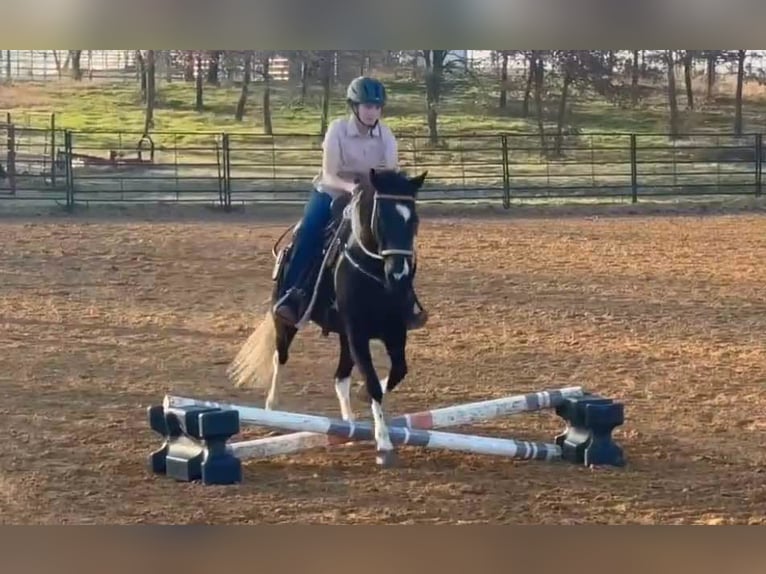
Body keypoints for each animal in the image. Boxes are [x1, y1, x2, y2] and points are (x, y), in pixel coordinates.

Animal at [225, 166, 428, 468]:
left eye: (413, 219)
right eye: (381, 218)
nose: (399, 275)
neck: (373, 273)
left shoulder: (394, 331)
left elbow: (397, 372)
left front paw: (366, 402)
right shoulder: (357, 333)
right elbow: (372, 383)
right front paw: (383, 443)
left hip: (343, 336)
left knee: (340, 377)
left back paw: (348, 425)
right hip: (286, 321)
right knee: (279, 357)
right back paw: (272, 409)